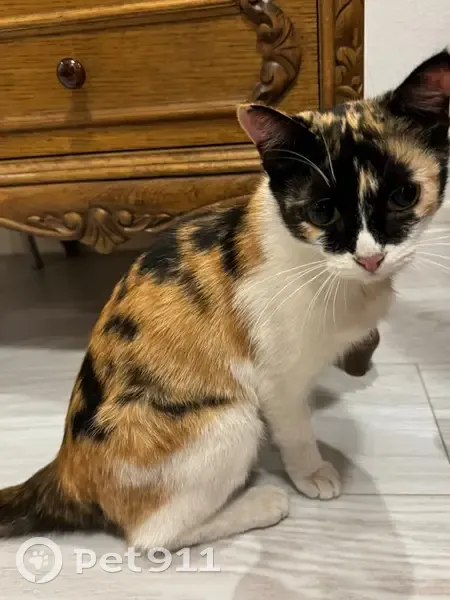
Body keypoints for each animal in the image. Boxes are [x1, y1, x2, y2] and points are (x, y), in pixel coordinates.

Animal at [1, 51, 449, 551]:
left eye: (404, 195)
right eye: (322, 211)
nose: (371, 258)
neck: (324, 272)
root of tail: (66, 469)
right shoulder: (274, 378)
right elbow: (294, 427)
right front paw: (311, 472)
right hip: (228, 421)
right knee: (152, 536)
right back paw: (262, 502)